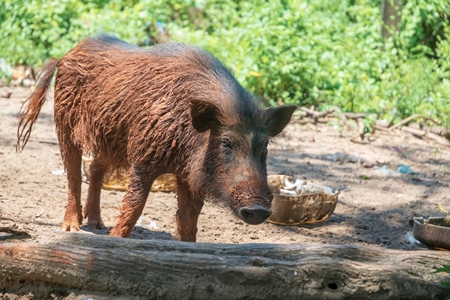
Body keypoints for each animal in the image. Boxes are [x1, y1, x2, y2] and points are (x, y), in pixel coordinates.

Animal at [17, 34, 298, 241]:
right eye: (225, 142)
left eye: (264, 146)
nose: (258, 209)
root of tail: (65, 55)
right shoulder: (144, 158)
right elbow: (134, 206)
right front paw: (116, 239)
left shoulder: (189, 174)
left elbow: (188, 219)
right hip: (64, 123)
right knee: (73, 175)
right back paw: (72, 228)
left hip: (111, 140)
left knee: (95, 169)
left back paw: (96, 224)